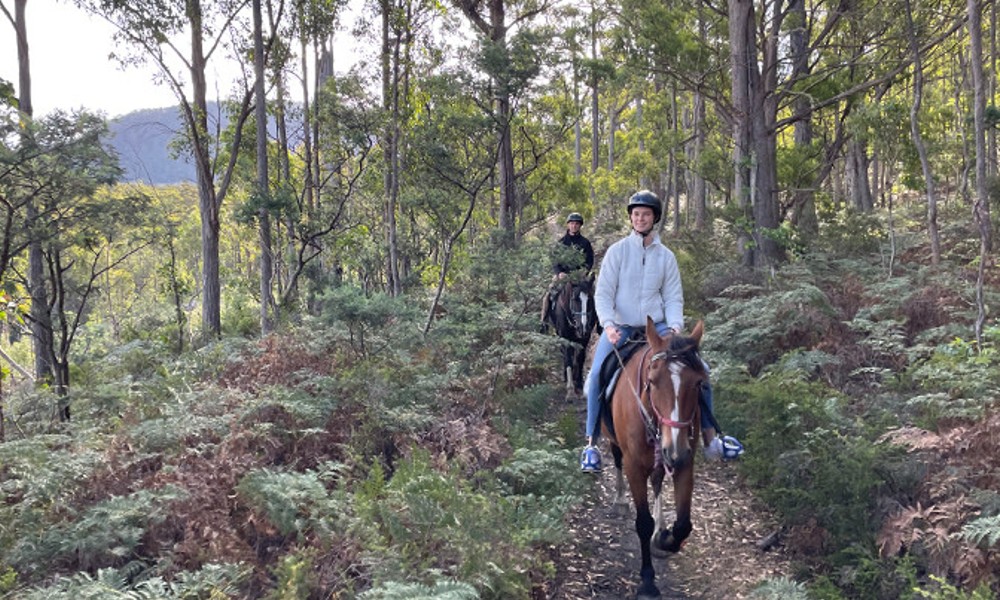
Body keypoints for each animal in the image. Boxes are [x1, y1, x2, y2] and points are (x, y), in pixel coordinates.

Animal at [604, 316, 708, 596]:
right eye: (651, 381)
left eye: (699, 383)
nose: (674, 450)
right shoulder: (634, 467)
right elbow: (643, 523)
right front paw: (648, 582)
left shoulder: (685, 464)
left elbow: (683, 525)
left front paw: (664, 538)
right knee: (616, 458)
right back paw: (620, 499)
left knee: (659, 479)